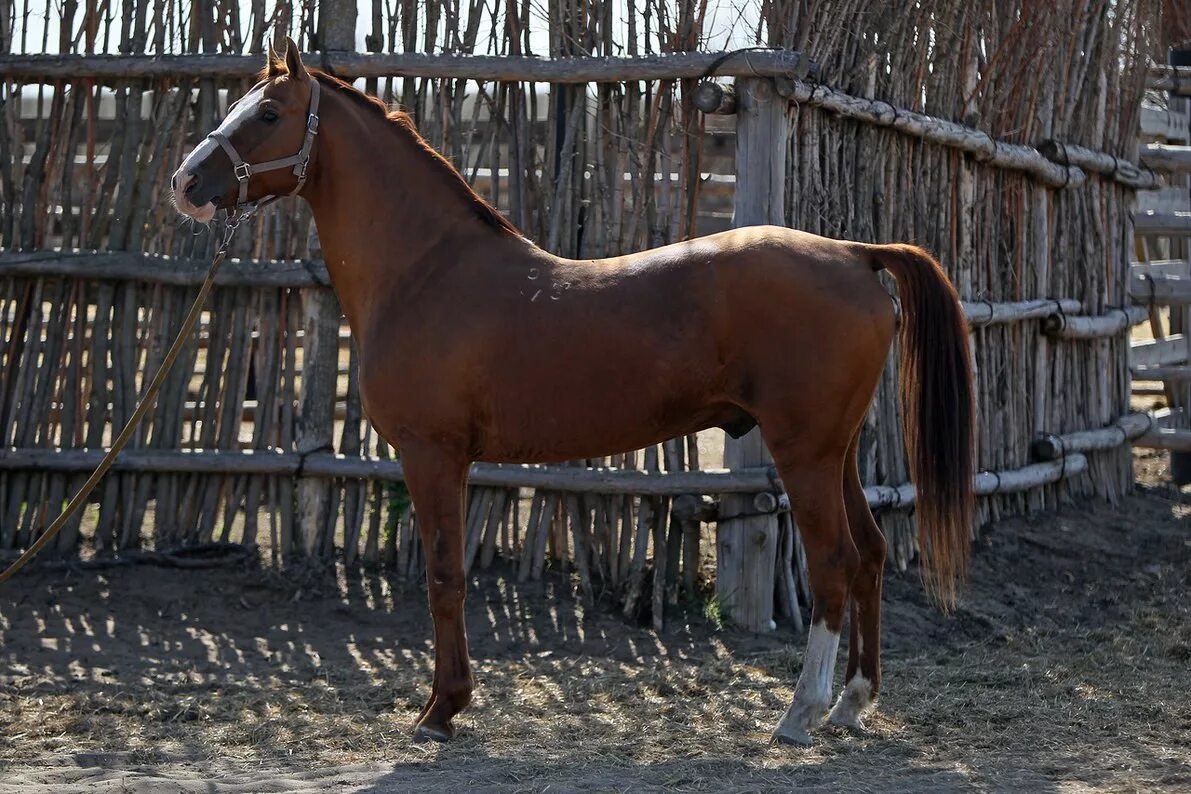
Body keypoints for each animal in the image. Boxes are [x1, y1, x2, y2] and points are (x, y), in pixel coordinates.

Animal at [176, 40, 976, 747]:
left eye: (269, 113)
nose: (184, 184)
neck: (427, 271)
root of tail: (854, 255)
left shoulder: (431, 454)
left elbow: (443, 576)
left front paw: (441, 711)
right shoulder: (451, 459)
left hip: (803, 453)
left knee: (833, 562)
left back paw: (799, 714)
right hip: (836, 452)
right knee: (870, 553)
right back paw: (851, 704)